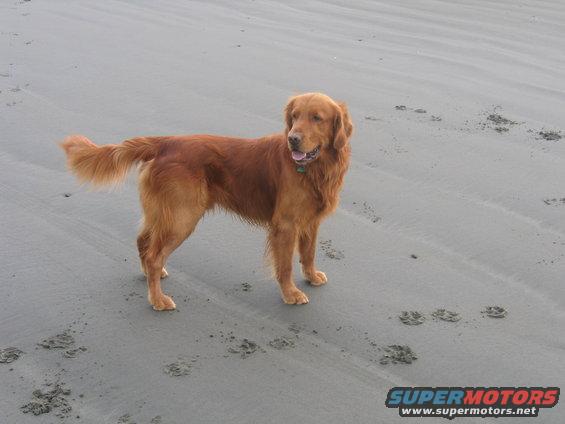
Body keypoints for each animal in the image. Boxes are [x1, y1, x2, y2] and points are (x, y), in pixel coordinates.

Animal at [61, 93, 352, 310]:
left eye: (316, 118)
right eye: (294, 117)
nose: (293, 139)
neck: (316, 169)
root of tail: (165, 142)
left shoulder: (311, 221)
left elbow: (309, 253)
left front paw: (312, 277)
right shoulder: (286, 224)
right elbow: (286, 265)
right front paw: (291, 293)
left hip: (163, 212)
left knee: (144, 241)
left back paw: (151, 278)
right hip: (183, 216)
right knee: (154, 254)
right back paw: (158, 299)